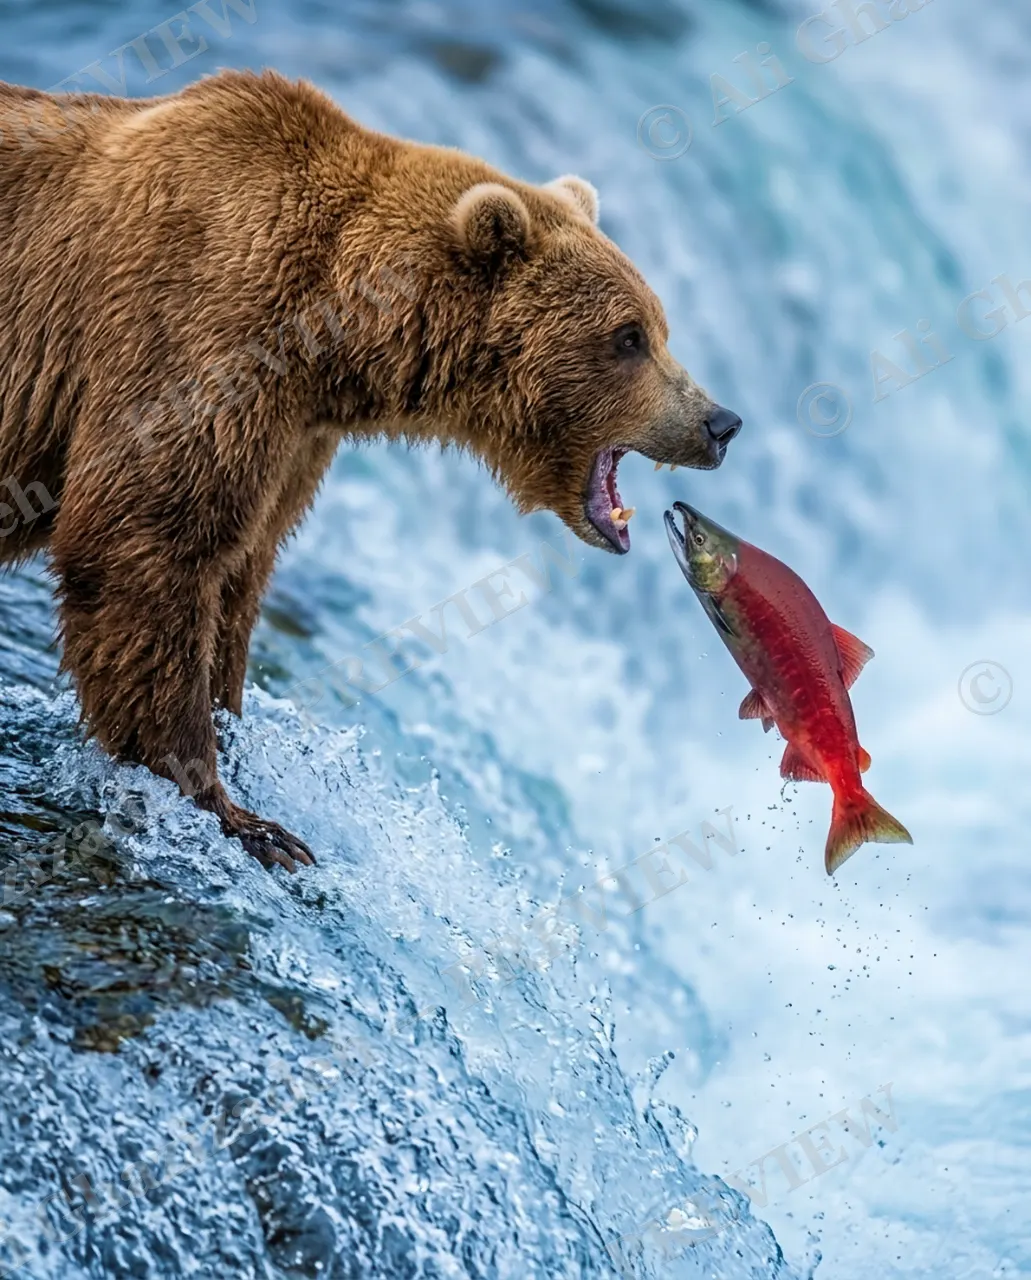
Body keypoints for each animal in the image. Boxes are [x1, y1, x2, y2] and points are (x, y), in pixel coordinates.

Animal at [0, 69, 741, 872]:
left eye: (659, 327)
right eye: (628, 336)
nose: (720, 423)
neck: (328, 339)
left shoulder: (289, 438)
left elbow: (238, 573)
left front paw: (235, 731)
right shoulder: (191, 334)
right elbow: (143, 543)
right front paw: (242, 815)